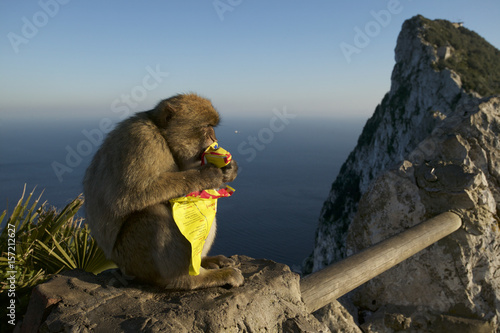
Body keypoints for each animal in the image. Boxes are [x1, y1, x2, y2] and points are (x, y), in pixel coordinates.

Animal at [83, 92, 243, 288]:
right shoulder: (142, 140)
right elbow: (129, 196)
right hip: (133, 259)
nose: (215, 140)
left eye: (212, 127)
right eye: (206, 127)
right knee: (154, 212)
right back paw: (190, 278)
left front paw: (230, 169)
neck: (163, 136)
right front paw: (208, 176)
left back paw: (205, 261)